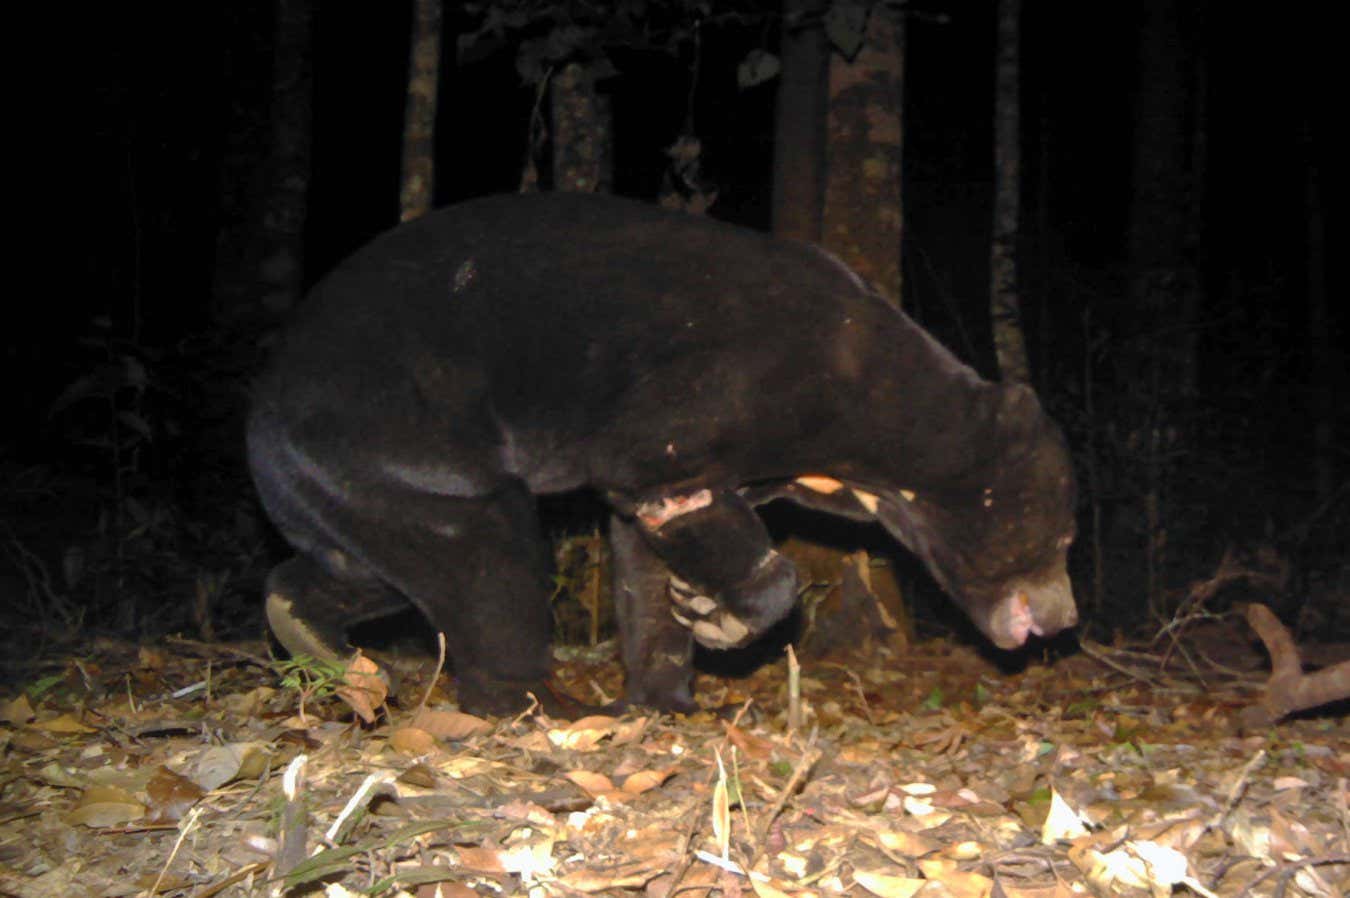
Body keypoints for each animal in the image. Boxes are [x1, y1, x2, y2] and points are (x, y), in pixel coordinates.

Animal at [247, 192, 1078, 716]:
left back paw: (314, 637)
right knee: (491, 560)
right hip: (397, 434)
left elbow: (645, 555)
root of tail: (263, 401)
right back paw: (533, 701)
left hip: (345, 483)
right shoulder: (721, 391)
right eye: (1065, 537)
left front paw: (665, 686)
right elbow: (653, 481)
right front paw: (721, 618)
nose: (1063, 621)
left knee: (369, 565)